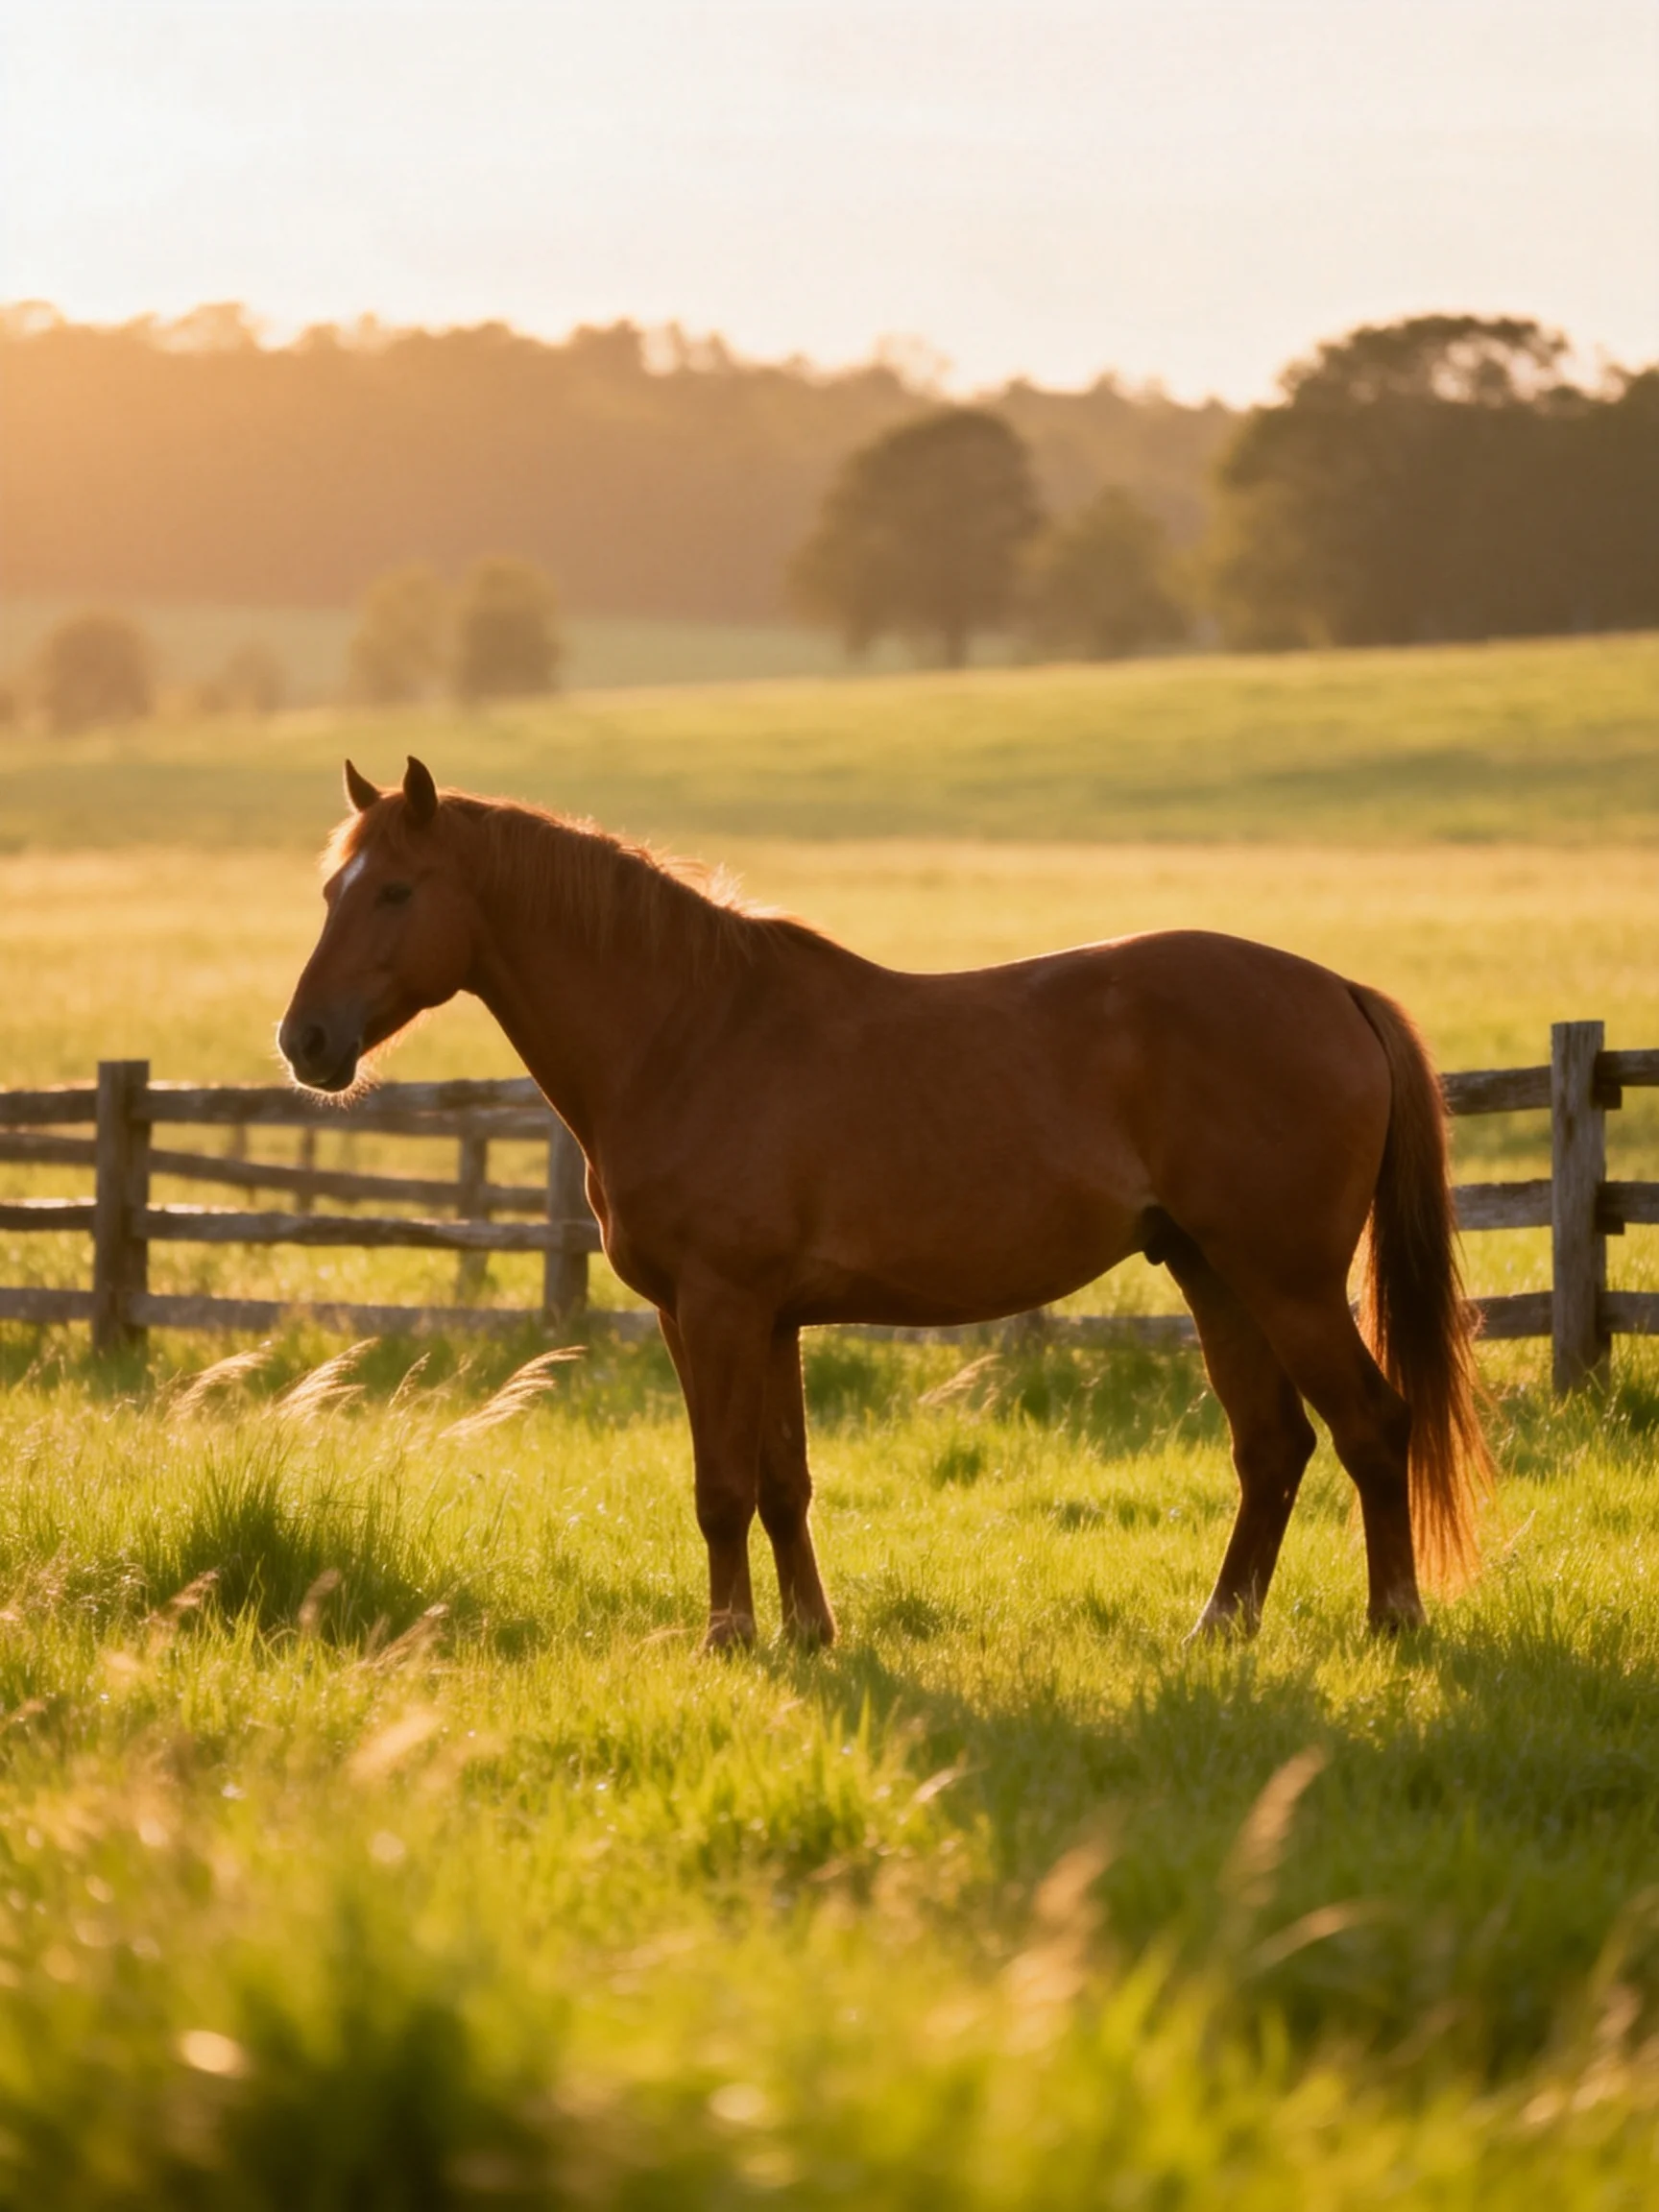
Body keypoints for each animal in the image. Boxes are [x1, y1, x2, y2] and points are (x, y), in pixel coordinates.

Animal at [279, 756, 1491, 1649]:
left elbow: (722, 1485)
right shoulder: (757, 1319)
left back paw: (1392, 1621)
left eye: (395, 890)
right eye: (330, 890)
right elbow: (782, 1482)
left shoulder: (719, 1307)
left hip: (1287, 1283)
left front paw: (728, 1642)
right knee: (1272, 1447)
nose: (306, 1040)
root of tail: (1338, 990)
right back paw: (1219, 1629)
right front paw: (809, 1635)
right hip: (1213, 1275)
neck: (688, 1034)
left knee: (1373, 1426)